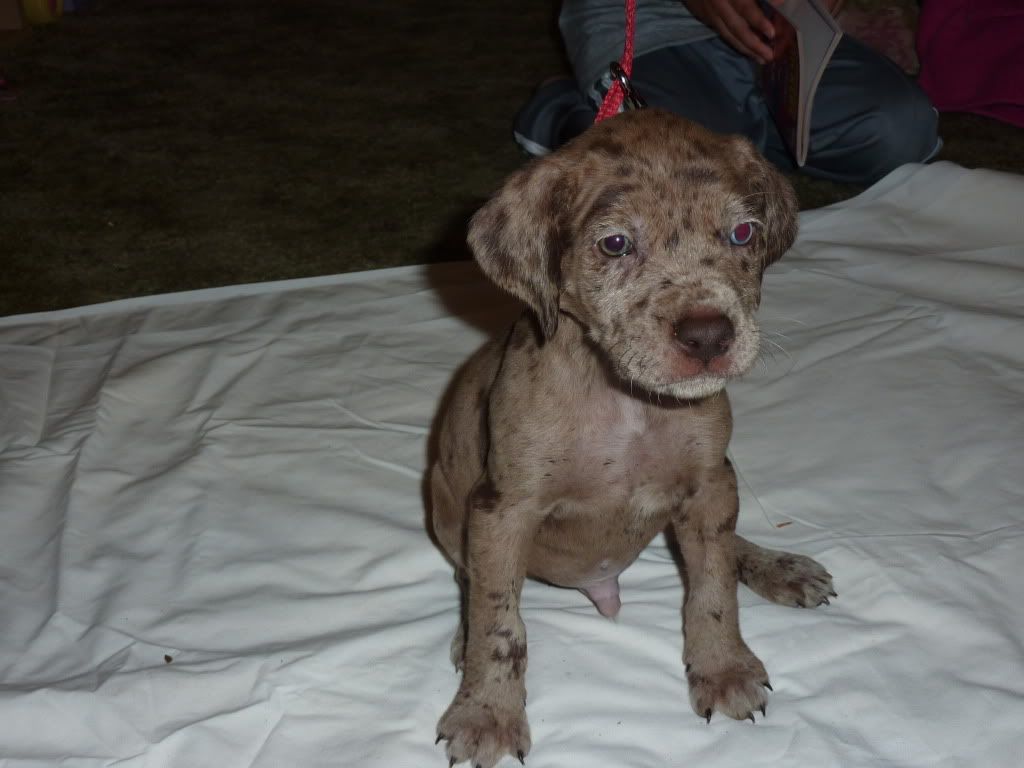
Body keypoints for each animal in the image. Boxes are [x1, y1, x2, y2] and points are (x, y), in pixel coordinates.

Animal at [428, 109, 835, 768]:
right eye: (615, 243)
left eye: (742, 234)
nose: (708, 336)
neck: (627, 401)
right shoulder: (502, 510)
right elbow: (499, 621)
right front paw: (486, 710)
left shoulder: (709, 483)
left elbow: (713, 583)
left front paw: (722, 668)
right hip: (446, 505)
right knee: (470, 579)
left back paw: (777, 566)